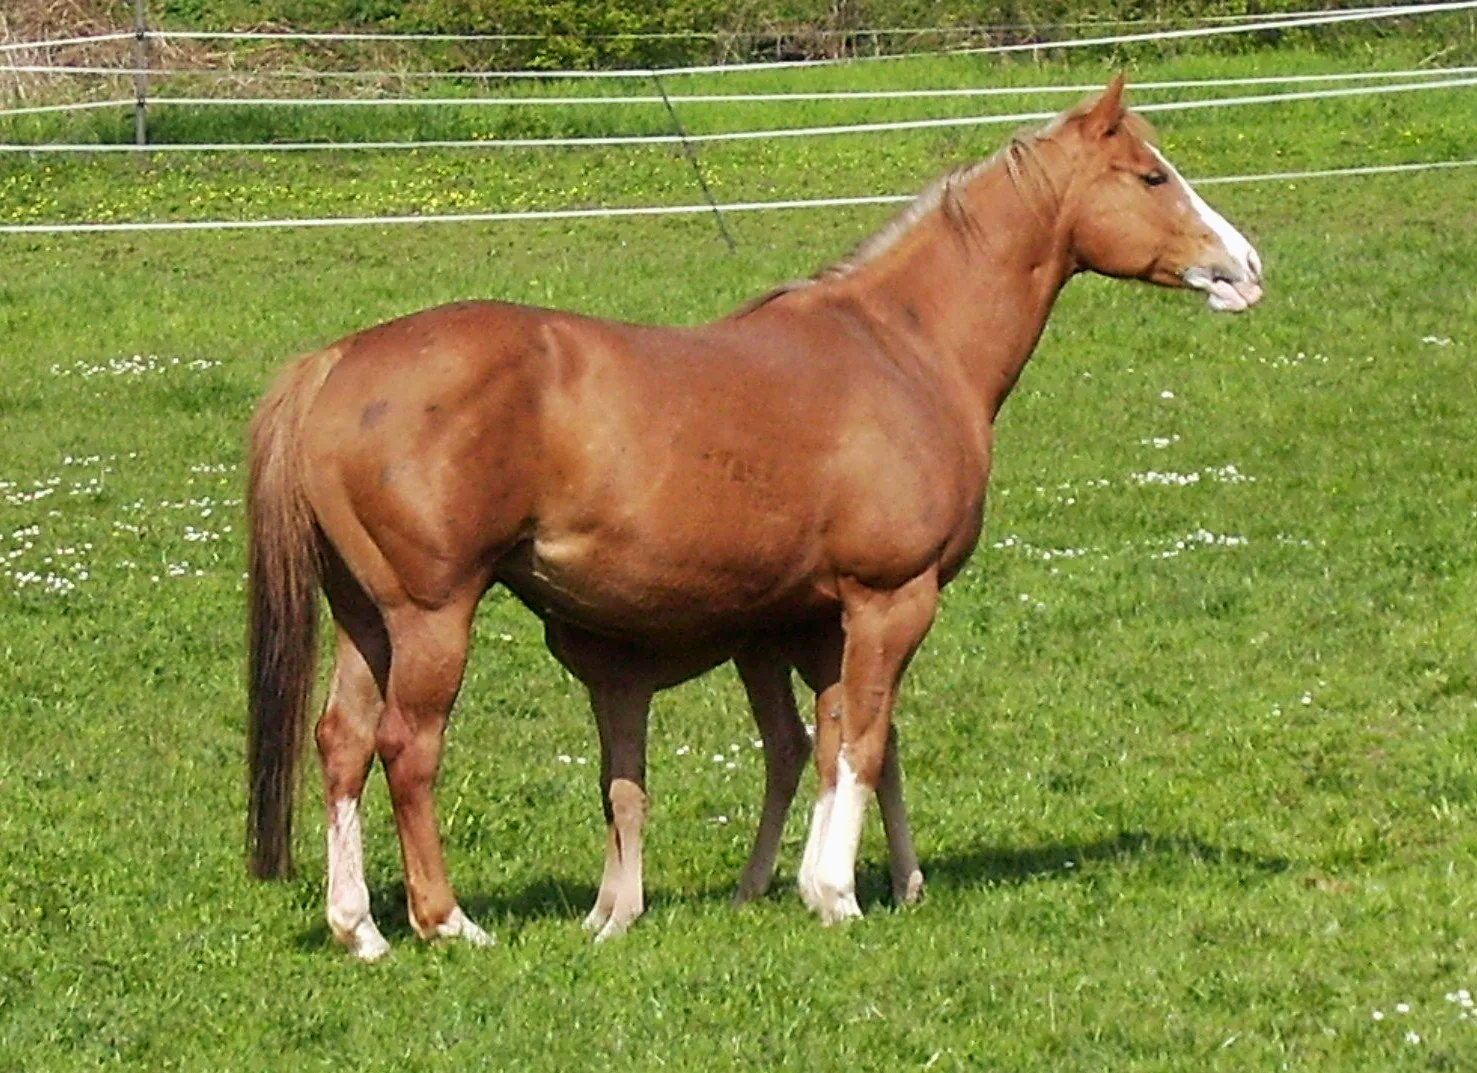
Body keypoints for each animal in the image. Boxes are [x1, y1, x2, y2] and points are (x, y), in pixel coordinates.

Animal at [245, 75, 1262, 960]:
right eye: (1151, 176)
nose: (1245, 267)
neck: (906, 347)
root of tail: (334, 363)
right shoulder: (891, 599)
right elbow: (861, 739)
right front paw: (835, 892)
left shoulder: (812, 617)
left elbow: (831, 741)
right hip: (431, 615)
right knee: (406, 750)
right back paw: (446, 921)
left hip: (367, 620)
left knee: (340, 746)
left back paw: (359, 927)